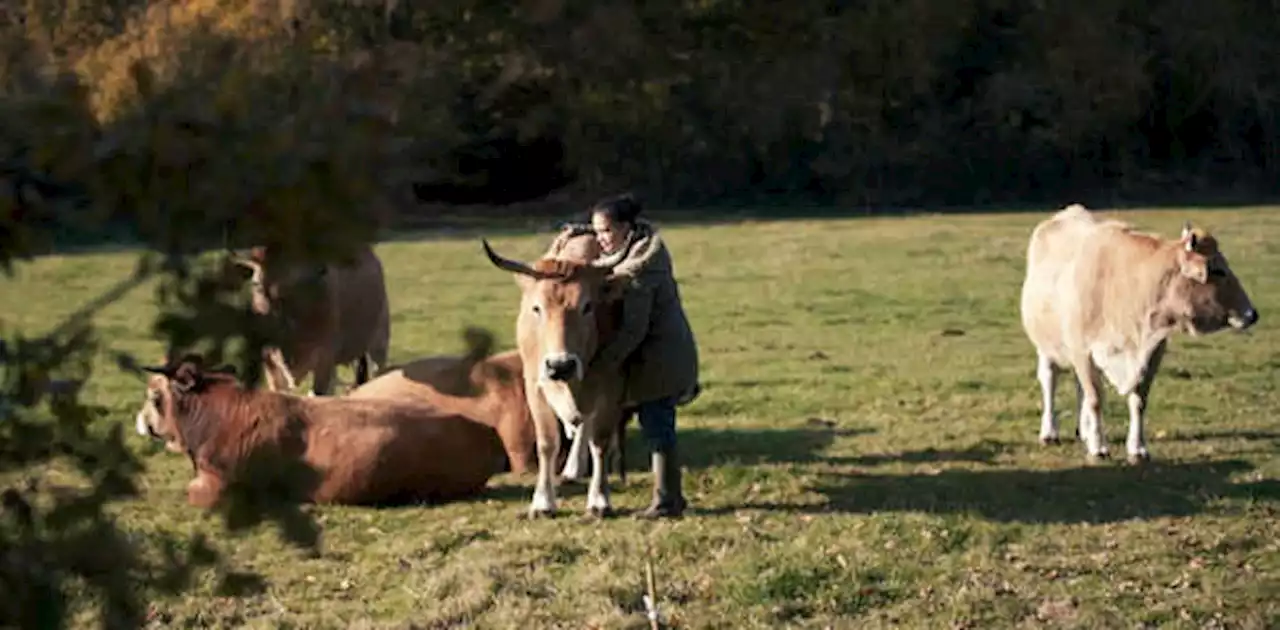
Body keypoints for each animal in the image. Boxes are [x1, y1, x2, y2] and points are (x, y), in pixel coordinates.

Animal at [481, 234, 634, 519]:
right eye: (537, 308)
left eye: (587, 306)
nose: (561, 366)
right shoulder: (535, 385)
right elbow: (546, 443)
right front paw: (543, 502)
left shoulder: (610, 386)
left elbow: (599, 441)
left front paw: (599, 499)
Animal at [1018, 204, 1259, 466]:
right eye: (1218, 270)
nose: (1252, 314)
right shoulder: (1082, 351)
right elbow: (1095, 398)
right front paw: (1098, 447)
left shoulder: (1153, 352)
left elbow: (1137, 400)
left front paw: (1137, 448)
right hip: (1047, 346)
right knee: (1050, 381)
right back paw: (1050, 432)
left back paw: (1085, 430)